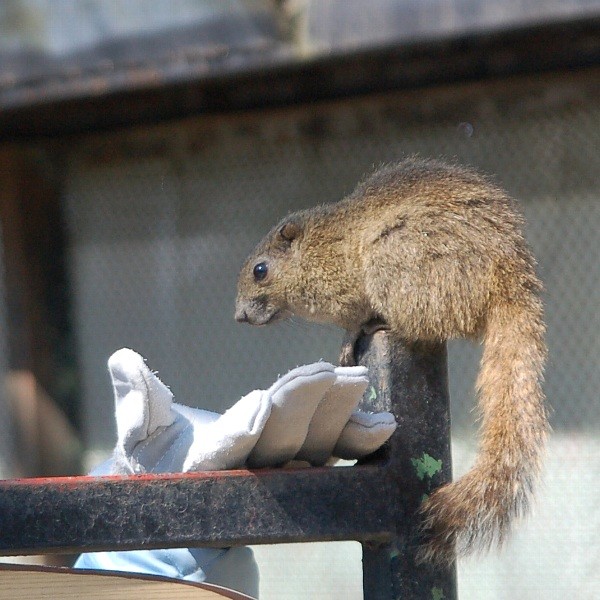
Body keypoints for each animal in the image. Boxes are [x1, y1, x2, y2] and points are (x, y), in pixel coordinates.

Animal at [234, 157, 548, 564]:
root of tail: (510, 277)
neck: (321, 248)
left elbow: (352, 320)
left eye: (261, 270)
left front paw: (348, 339)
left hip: (399, 257)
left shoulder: (346, 293)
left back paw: (384, 322)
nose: (239, 316)